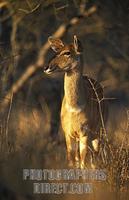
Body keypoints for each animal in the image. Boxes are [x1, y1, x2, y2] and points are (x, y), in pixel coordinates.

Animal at [43, 36, 106, 169]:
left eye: (67, 52)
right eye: (57, 51)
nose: (46, 67)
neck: (75, 108)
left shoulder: (84, 133)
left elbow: (83, 162)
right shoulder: (68, 133)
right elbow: (72, 161)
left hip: (99, 132)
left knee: (95, 158)